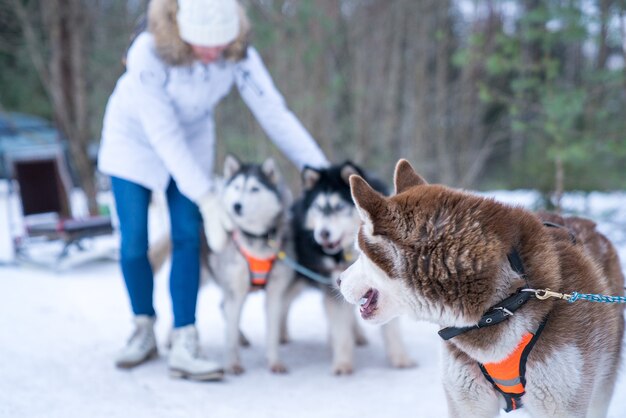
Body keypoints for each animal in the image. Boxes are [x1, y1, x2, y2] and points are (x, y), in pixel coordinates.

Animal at [292, 162, 414, 374]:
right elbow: (340, 329)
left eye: (339, 207)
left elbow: (391, 328)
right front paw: (342, 363)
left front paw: (400, 358)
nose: (323, 233)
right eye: (318, 208)